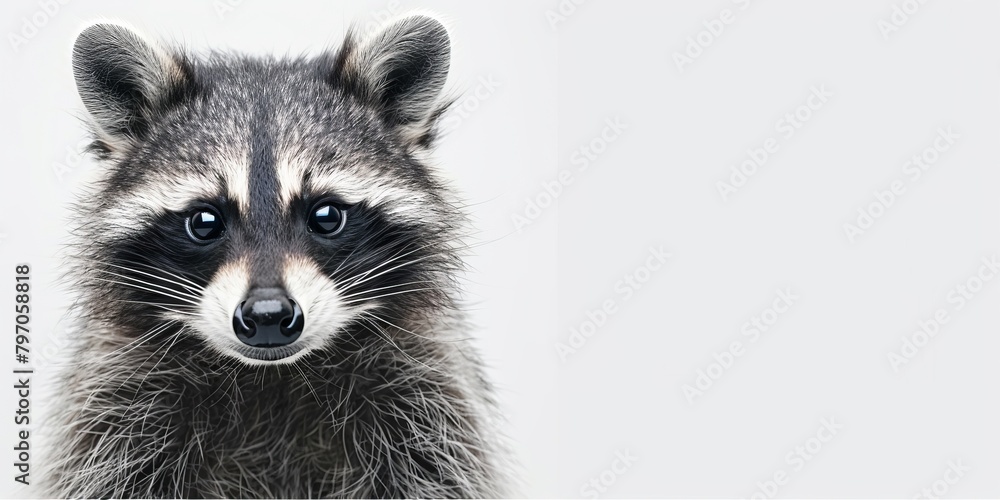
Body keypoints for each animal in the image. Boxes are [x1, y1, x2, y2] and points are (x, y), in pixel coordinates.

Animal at [44, 15, 510, 498]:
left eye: (326, 216)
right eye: (204, 222)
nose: (267, 314)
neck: (273, 376)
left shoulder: (428, 394)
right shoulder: (116, 403)